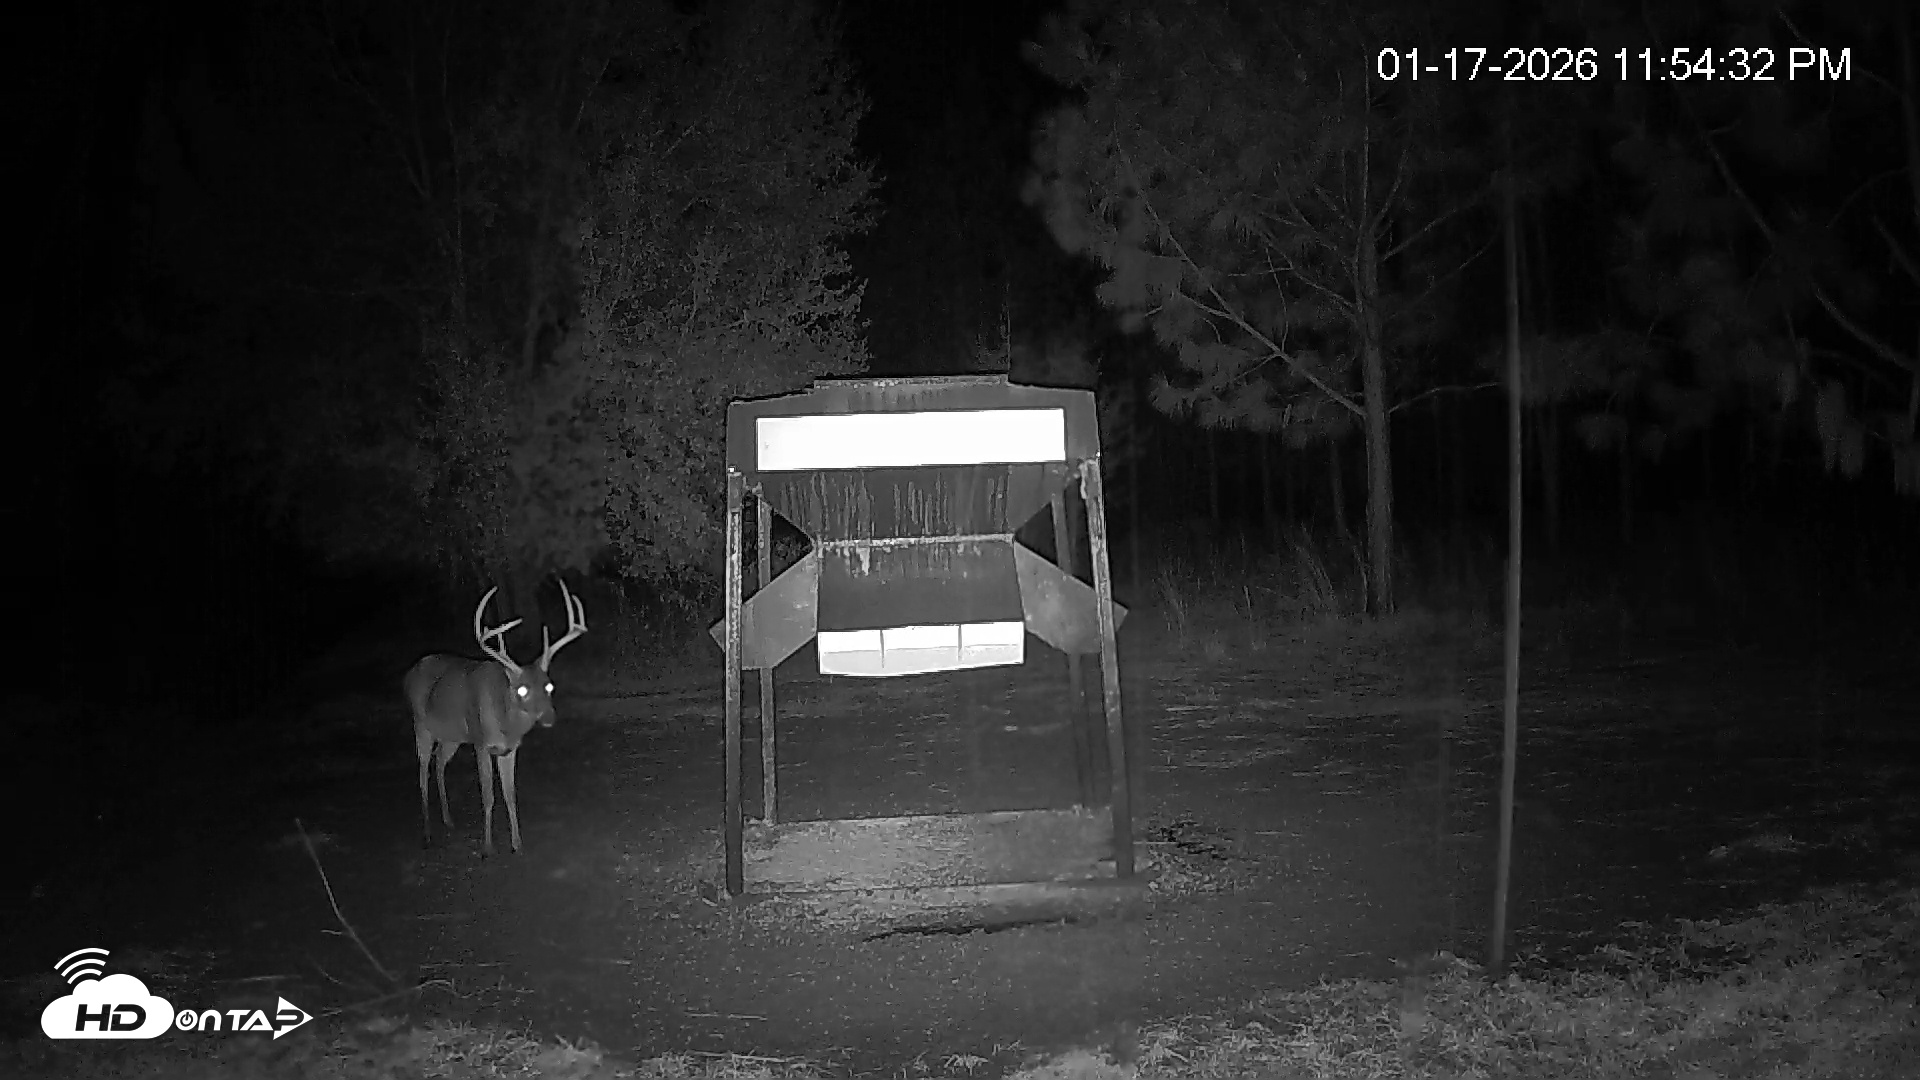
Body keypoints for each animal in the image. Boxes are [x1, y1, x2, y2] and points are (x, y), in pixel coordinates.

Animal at [404, 579, 587, 856]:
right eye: (522, 690)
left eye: (549, 686)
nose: (549, 717)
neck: (505, 722)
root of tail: (410, 673)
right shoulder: (481, 743)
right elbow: (488, 795)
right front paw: (487, 847)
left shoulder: (509, 749)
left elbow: (510, 794)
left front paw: (517, 844)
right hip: (422, 726)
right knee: (423, 772)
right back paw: (427, 834)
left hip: (452, 737)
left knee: (439, 763)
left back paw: (448, 820)